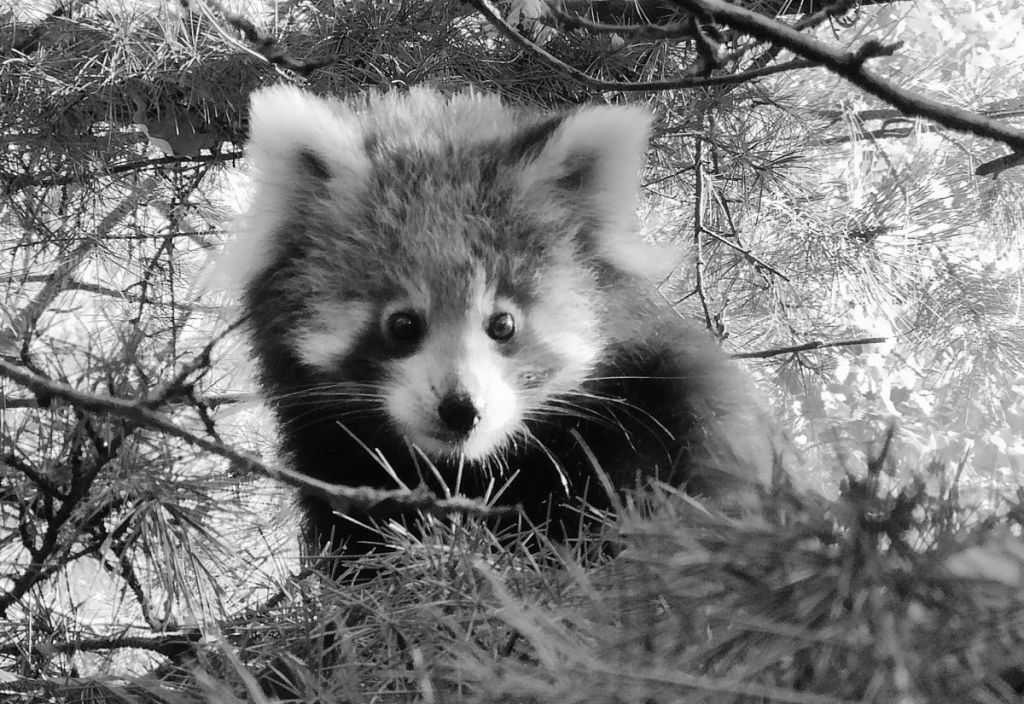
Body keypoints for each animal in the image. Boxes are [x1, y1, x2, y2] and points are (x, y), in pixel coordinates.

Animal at [232, 83, 774, 556]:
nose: (461, 410)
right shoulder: (335, 459)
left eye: (503, 324)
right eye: (402, 325)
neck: (472, 472)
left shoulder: (662, 401)